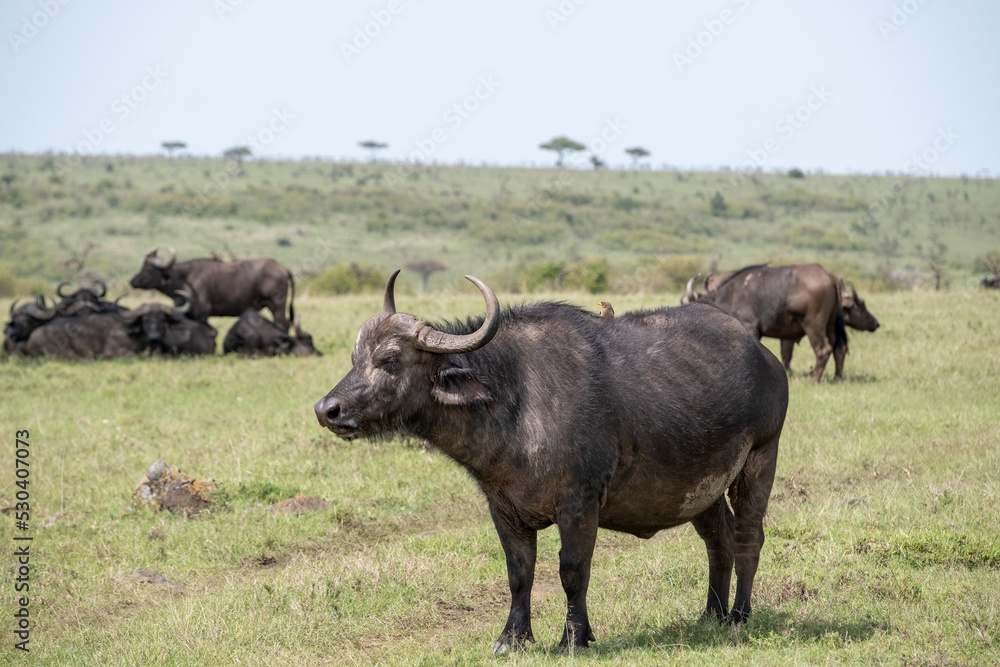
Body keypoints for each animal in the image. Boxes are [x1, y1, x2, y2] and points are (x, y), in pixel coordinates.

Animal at [127, 245, 294, 328]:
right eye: (143, 267)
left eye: (149, 270)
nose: (132, 281)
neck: (185, 279)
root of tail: (283, 269)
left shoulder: (202, 314)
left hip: (277, 305)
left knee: (283, 323)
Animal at [314, 270, 788, 652]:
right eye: (355, 358)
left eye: (390, 360)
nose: (327, 410)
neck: (514, 400)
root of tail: (765, 358)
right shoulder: (503, 508)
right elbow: (519, 572)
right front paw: (512, 638)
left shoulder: (579, 505)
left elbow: (572, 571)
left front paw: (574, 638)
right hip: (701, 489)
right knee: (718, 539)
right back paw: (711, 614)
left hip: (761, 459)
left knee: (748, 536)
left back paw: (739, 615)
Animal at [680, 264, 844, 384]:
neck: (730, 295)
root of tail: (830, 276)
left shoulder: (750, 328)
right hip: (832, 325)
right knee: (838, 349)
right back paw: (837, 378)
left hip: (813, 325)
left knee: (823, 349)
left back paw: (814, 379)